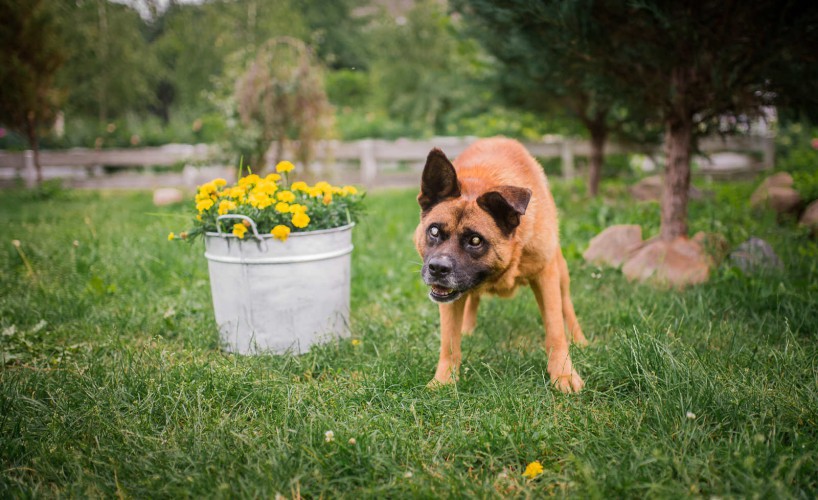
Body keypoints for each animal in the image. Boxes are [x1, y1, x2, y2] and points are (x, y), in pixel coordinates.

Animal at [414, 139, 588, 392]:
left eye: (476, 240)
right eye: (434, 231)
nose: (437, 268)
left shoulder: (546, 276)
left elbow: (556, 330)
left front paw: (563, 373)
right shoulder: (449, 300)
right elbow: (449, 342)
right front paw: (444, 380)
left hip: (561, 272)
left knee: (567, 305)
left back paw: (579, 339)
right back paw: (468, 329)